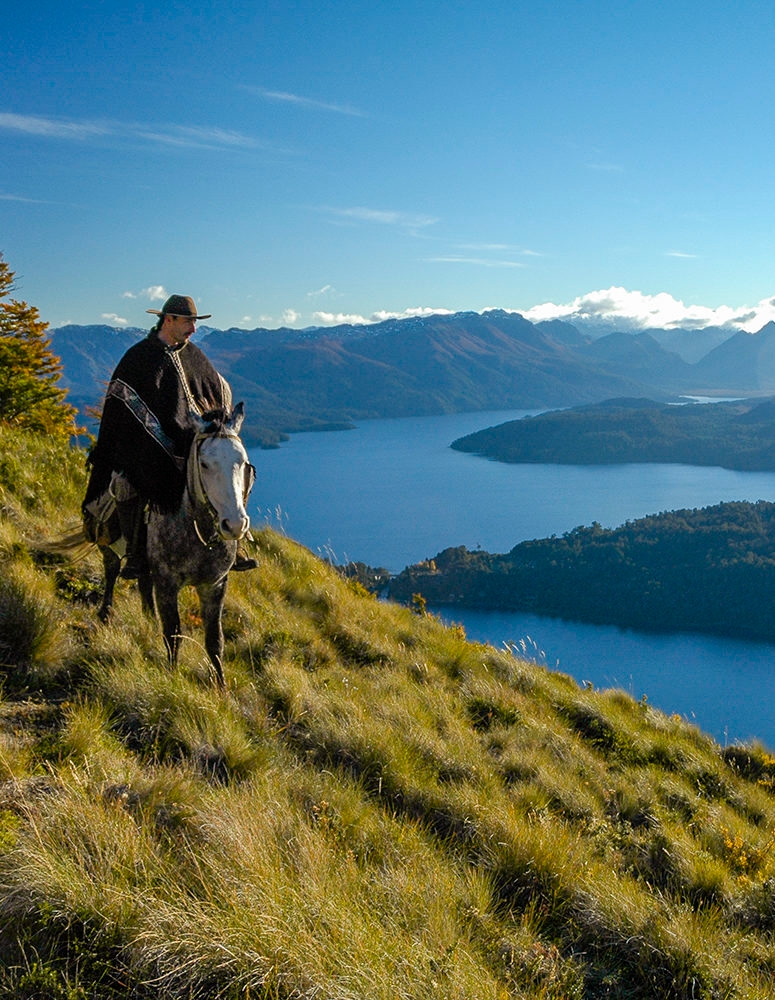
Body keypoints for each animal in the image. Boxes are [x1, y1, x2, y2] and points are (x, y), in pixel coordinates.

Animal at [79, 403, 255, 686]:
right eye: (204, 464)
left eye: (243, 463)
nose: (235, 525)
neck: (197, 533)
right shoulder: (167, 582)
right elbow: (173, 633)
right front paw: (172, 678)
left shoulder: (215, 585)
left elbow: (215, 641)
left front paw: (221, 688)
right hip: (107, 542)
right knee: (112, 571)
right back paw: (105, 613)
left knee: (142, 583)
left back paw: (149, 620)